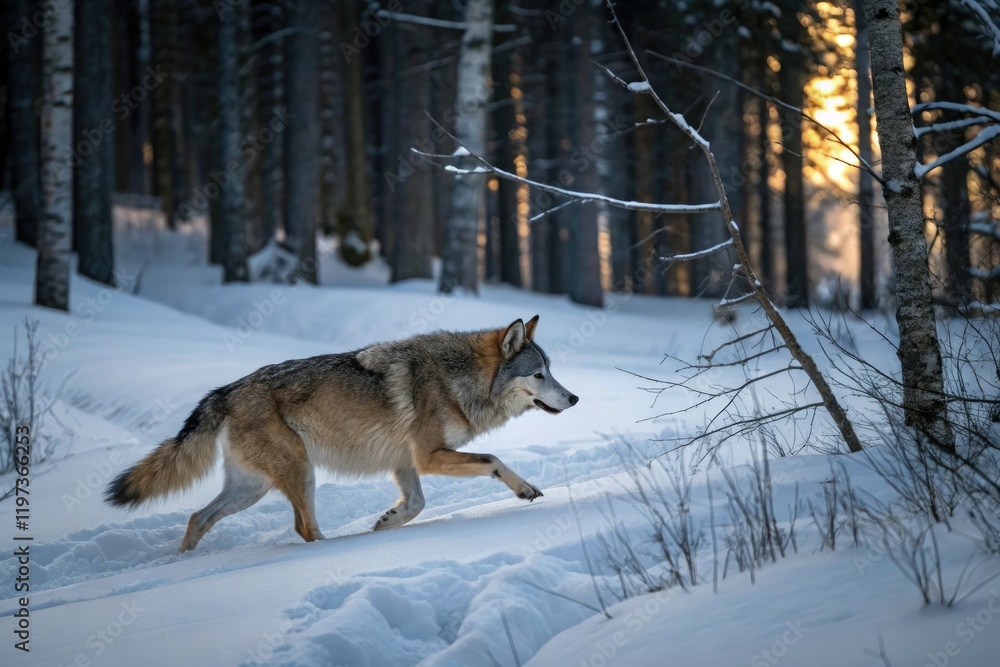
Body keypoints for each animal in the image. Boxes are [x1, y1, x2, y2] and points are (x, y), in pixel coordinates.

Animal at [105, 316, 578, 552]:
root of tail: (225, 390)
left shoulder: (405, 462)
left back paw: (182, 561)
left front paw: (387, 523)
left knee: (196, 518)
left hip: (251, 489)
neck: (456, 379)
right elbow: (494, 461)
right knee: (302, 528)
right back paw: (330, 550)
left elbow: (417, 504)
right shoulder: (427, 456)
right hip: (301, 473)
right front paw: (525, 489)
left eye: (551, 370)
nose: (574, 398)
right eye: (539, 374)